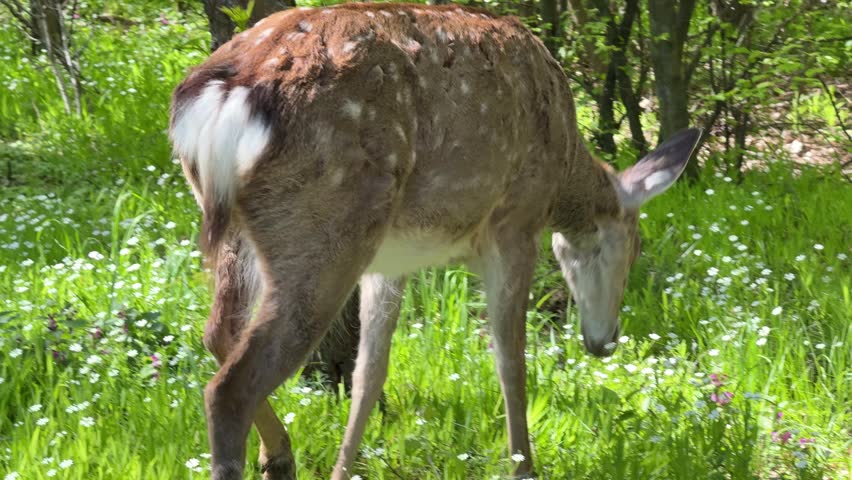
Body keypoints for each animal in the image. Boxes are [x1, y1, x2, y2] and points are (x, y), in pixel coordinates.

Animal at [169, 3, 702, 479]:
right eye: (632, 249)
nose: (606, 341)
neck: (563, 172)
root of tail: (219, 97)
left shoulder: (392, 259)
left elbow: (370, 371)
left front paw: (345, 469)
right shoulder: (514, 222)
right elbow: (510, 361)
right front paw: (524, 468)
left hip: (253, 234)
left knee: (216, 333)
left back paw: (279, 457)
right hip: (324, 224)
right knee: (230, 386)